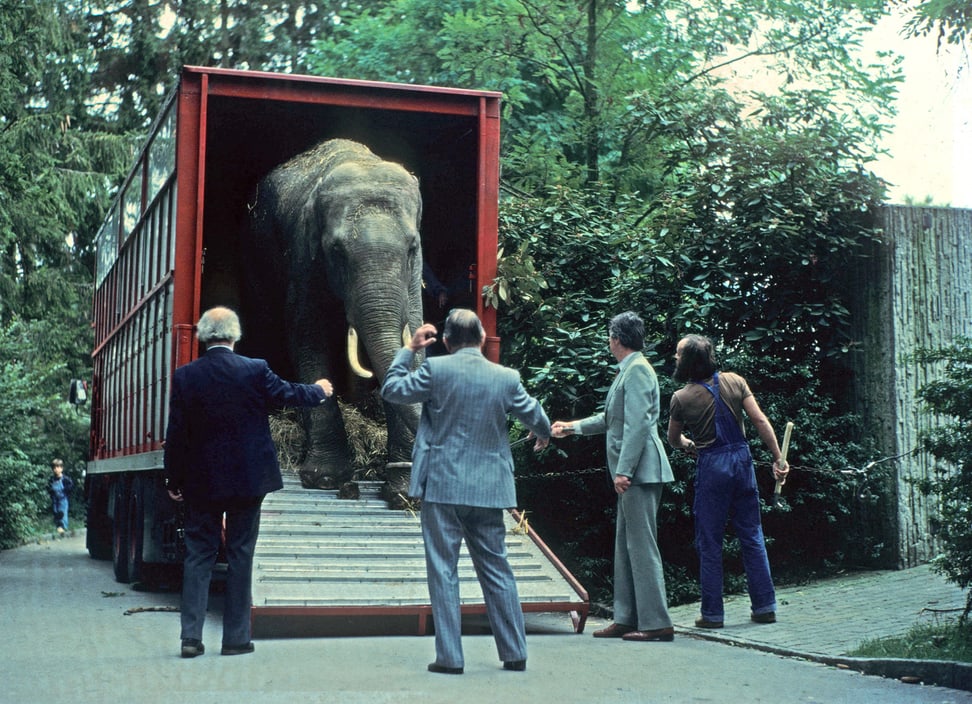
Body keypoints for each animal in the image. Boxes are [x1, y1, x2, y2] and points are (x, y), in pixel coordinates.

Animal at [241, 136, 424, 506]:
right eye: (337, 251)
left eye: (411, 248)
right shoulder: (305, 254)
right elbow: (308, 336)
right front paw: (325, 479)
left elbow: (413, 327)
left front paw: (402, 494)